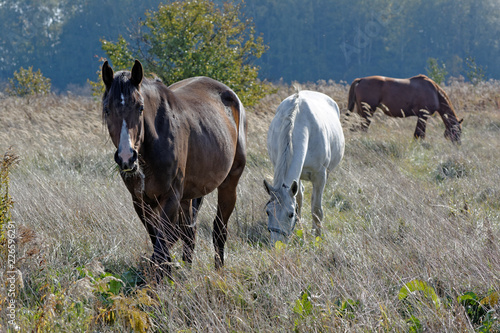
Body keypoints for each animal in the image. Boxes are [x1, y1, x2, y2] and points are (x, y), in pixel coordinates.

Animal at [102, 60, 248, 278]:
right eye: (107, 109)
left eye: (140, 107)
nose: (127, 157)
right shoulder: (141, 202)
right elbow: (159, 241)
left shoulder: (170, 198)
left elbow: (162, 246)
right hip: (187, 198)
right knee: (189, 233)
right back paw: (186, 271)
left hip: (229, 184)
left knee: (219, 230)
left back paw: (218, 270)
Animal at [264, 91, 346, 244]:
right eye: (268, 212)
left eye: (290, 214)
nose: (276, 244)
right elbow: (299, 200)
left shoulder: (320, 176)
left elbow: (316, 209)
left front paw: (317, 237)